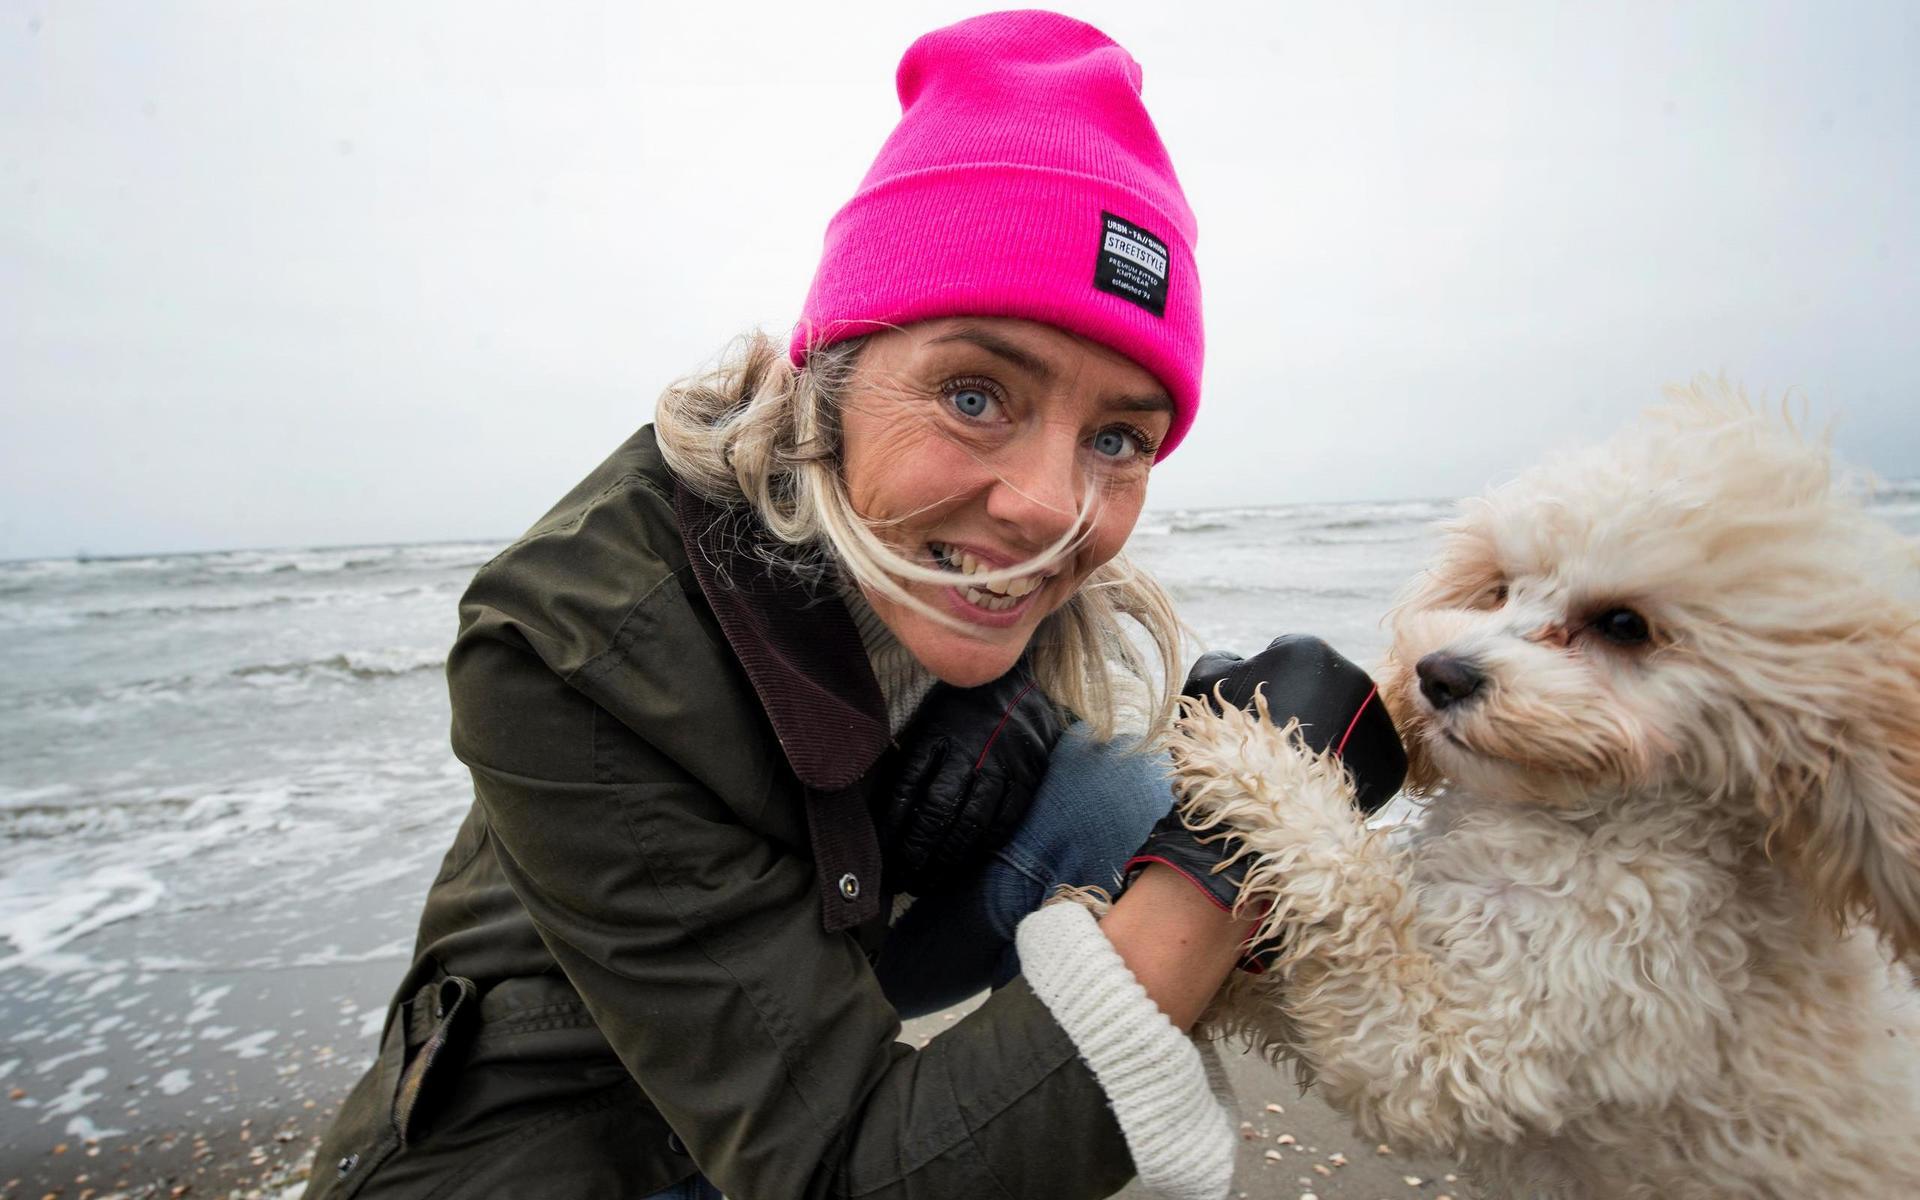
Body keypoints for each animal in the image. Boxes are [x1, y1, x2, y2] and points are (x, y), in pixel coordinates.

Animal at [1167, 387, 1920, 1190]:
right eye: (1499, 589)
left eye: (1623, 624)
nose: (1438, 674)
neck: (1570, 814)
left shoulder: (1470, 1048)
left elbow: (1355, 898)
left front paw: (1255, 757)